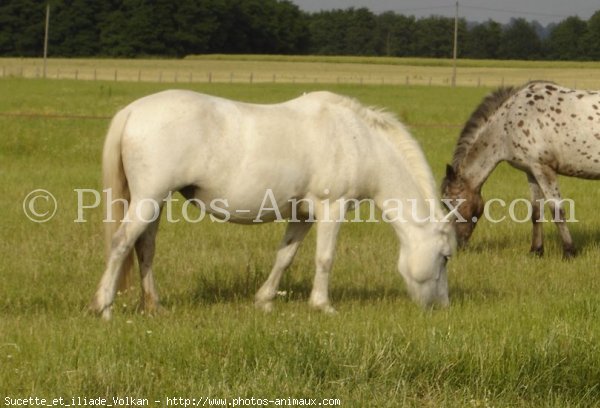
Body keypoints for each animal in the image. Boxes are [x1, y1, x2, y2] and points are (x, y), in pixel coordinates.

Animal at [91, 90, 452, 318]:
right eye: (445, 257)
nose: (442, 306)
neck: (358, 140)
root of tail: (132, 111)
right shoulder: (331, 208)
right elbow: (325, 259)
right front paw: (322, 305)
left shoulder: (303, 215)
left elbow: (285, 257)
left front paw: (264, 301)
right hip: (148, 200)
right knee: (121, 243)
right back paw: (104, 306)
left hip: (155, 203)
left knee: (145, 248)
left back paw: (153, 306)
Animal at [440, 81, 600, 256]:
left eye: (450, 202)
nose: (454, 246)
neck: (508, 122)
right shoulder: (531, 171)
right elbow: (536, 212)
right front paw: (536, 251)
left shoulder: (544, 169)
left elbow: (557, 210)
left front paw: (569, 252)